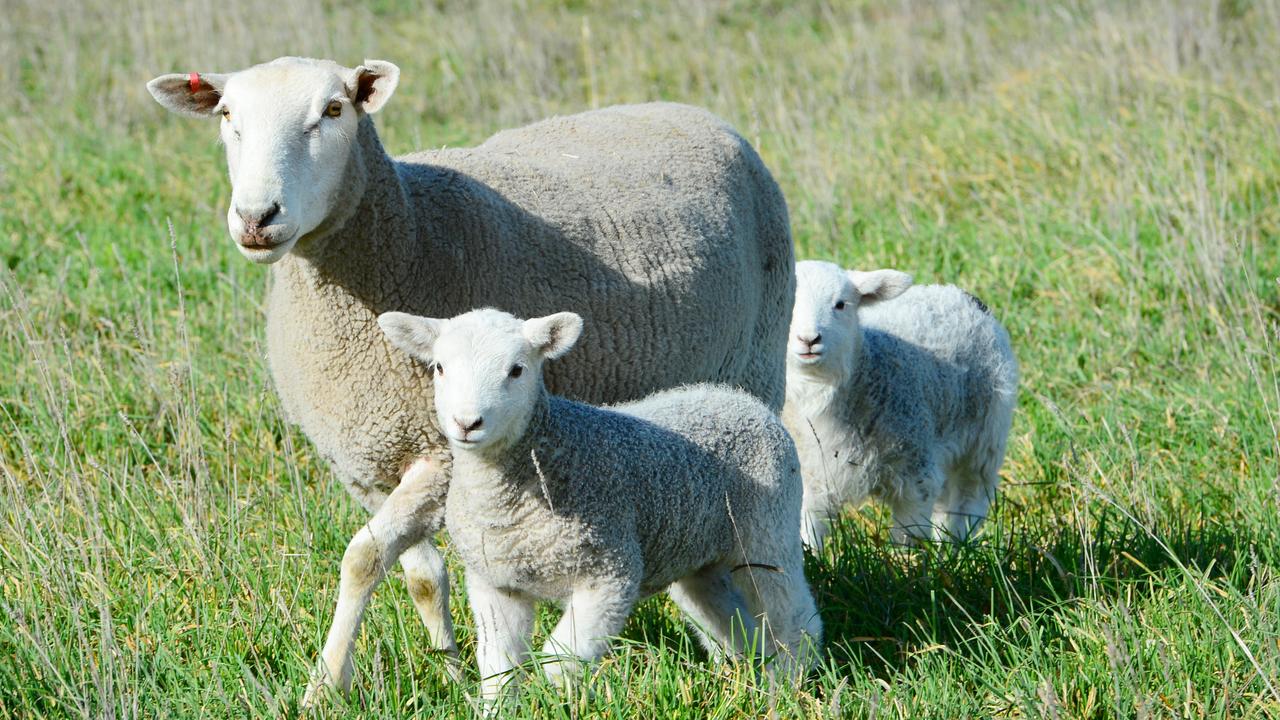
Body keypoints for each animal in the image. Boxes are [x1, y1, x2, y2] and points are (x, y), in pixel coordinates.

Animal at [373, 307, 824, 702]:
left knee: (795, 615)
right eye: (439, 368)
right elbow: (498, 669)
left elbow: (559, 662)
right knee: (726, 617)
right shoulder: (496, 582)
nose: (467, 424)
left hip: (768, 528)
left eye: (517, 370)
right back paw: (747, 675)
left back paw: (786, 686)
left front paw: (553, 701)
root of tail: (740, 400)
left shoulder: (609, 573)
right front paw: (499, 708)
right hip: (698, 552)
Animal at [778, 260, 1018, 545]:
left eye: (841, 304)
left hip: (984, 440)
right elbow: (806, 533)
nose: (809, 340)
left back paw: (956, 548)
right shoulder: (808, 475)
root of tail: (960, 294)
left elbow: (907, 539)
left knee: (967, 504)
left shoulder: (916, 476)